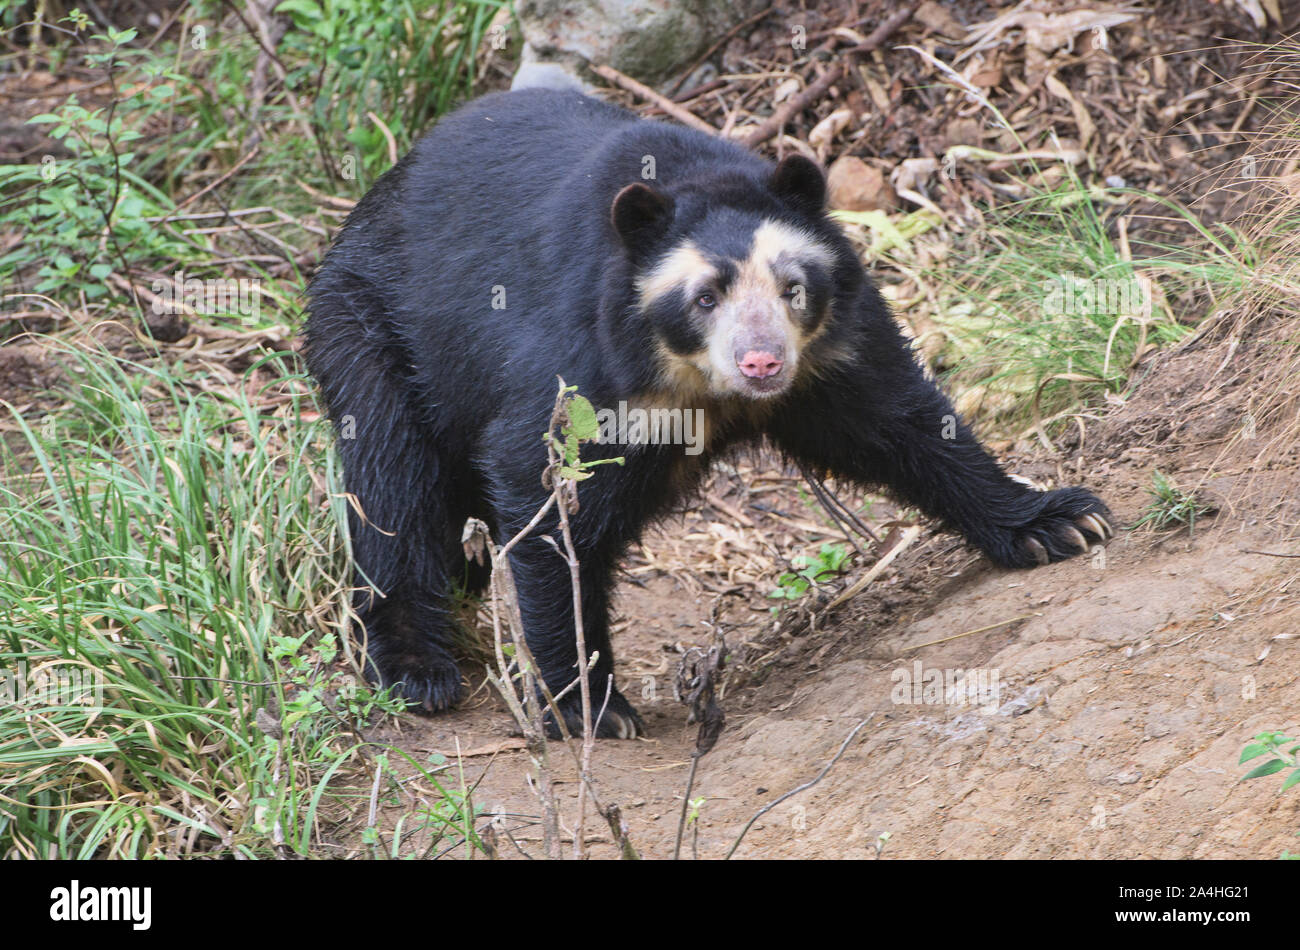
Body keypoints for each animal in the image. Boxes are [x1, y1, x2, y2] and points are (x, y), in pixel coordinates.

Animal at [304, 88, 1112, 738]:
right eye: (704, 297)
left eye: (792, 286)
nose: (763, 363)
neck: (691, 381)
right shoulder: (580, 360)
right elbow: (543, 488)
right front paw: (590, 707)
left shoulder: (835, 349)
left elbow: (900, 421)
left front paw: (1058, 521)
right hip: (368, 331)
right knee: (392, 485)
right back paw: (418, 668)